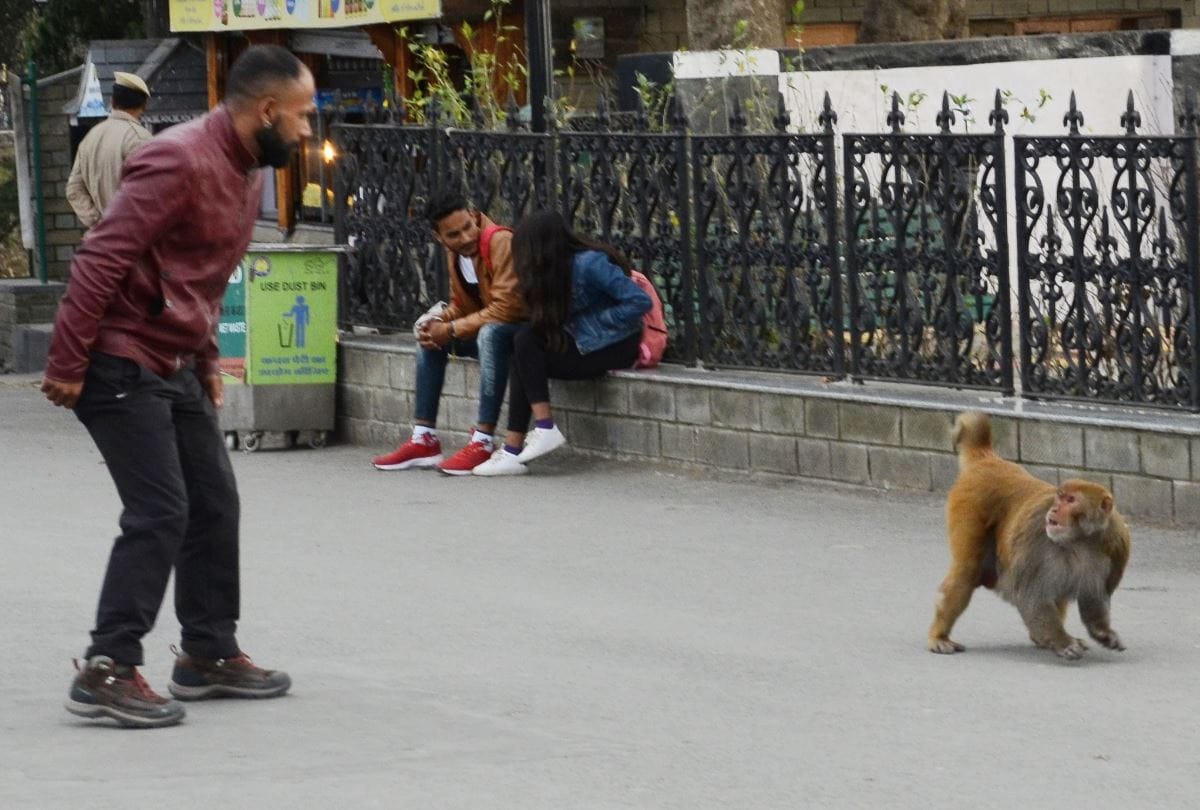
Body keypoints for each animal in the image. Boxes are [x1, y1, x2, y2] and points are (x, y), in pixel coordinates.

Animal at [927, 411, 1131, 660]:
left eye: (1070, 500)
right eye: (1059, 497)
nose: (1054, 510)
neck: (1080, 540)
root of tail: (989, 460)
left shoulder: (1116, 544)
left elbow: (1093, 596)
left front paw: (1102, 632)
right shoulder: (1036, 539)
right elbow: (1032, 596)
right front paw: (1062, 642)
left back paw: (1041, 638)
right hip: (969, 504)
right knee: (968, 570)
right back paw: (939, 636)